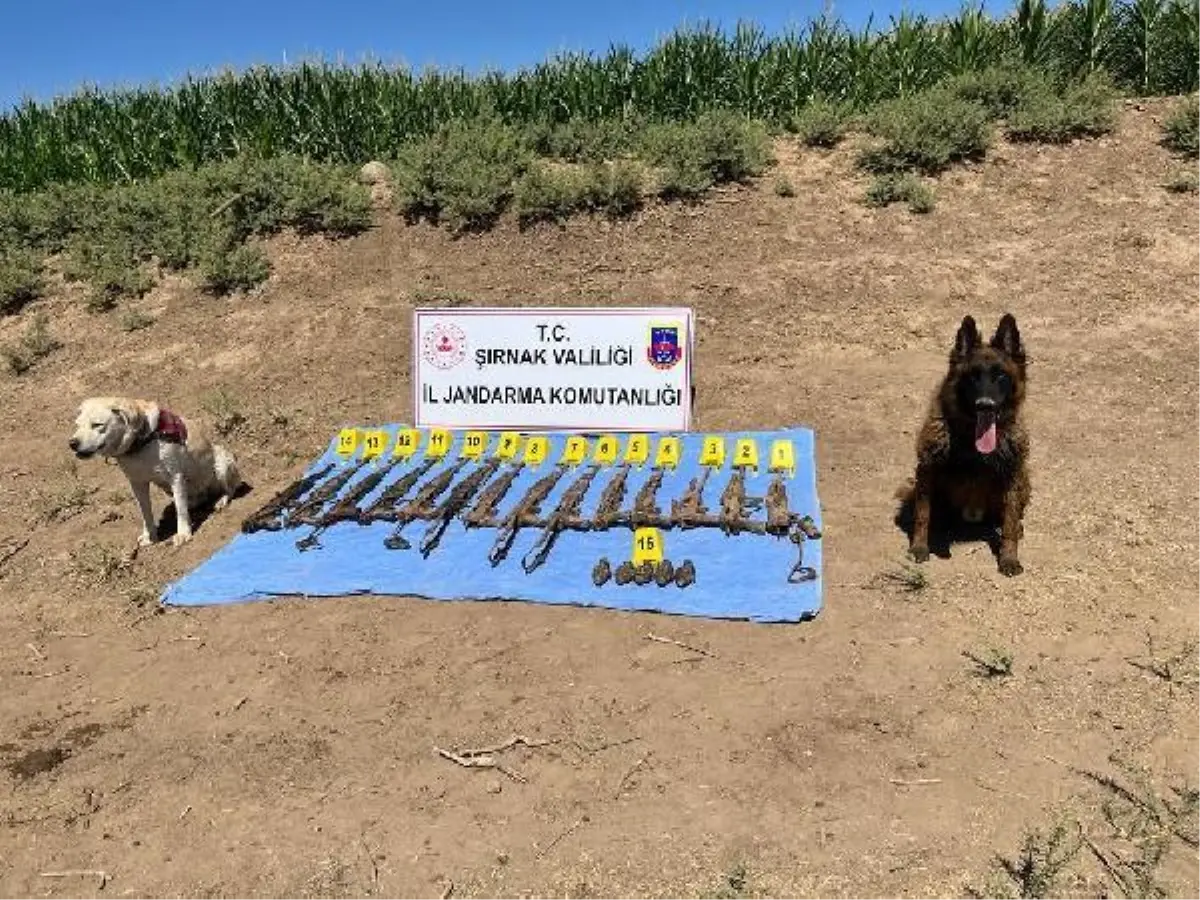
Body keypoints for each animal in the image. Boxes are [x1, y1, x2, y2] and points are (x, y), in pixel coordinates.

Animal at [68, 396, 246, 549]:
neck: (141, 443)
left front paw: (183, 534)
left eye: (97, 424)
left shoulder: (175, 476)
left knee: (230, 489)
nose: (72, 443)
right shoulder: (137, 483)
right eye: (77, 425)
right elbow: (145, 512)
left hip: (222, 462)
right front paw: (150, 536)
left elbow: (181, 510)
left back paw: (221, 500)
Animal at [902, 314, 1032, 573]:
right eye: (973, 376)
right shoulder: (928, 468)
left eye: (1000, 376)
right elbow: (923, 514)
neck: (972, 439)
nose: (985, 405)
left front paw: (1009, 558)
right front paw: (919, 547)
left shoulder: (1013, 472)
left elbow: (1010, 521)